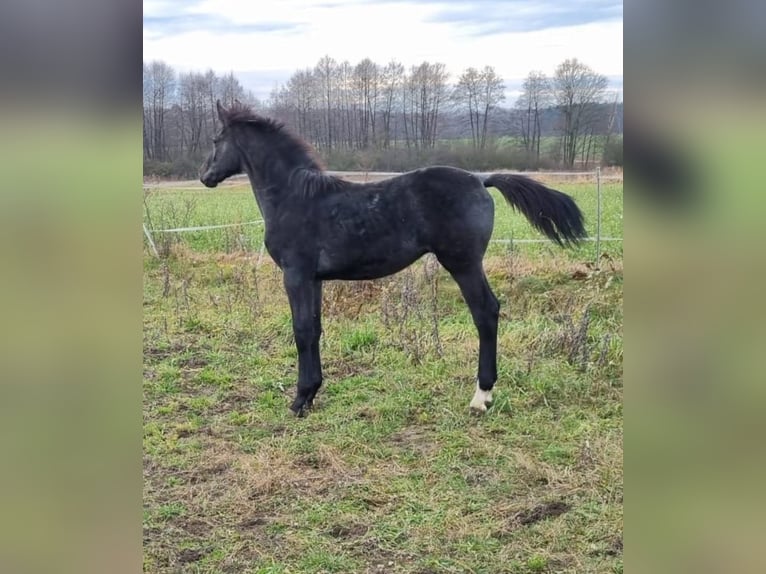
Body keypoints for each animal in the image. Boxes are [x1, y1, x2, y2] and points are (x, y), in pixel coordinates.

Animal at [200, 101, 588, 418]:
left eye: (216, 140)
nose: (205, 176)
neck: (294, 196)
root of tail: (481, 179)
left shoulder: (295, 275)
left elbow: (300, 331)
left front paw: (299, 400)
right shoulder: (314, 279)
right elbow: (315, 329)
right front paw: (311, 394)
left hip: (463, 263)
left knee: (486, 312)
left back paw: (481, 396)